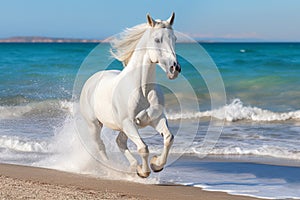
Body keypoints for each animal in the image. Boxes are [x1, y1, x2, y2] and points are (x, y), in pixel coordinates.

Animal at [79, 12, 180, 178]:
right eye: (157, 39)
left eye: (175, 39)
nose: (175, 68)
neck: (142, 89)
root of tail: (92, 80)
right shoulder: (129, 123)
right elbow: (143, 148)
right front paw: (144, 171)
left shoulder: (156, 118)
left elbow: (168, 138)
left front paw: (156, 165)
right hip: (95, 124)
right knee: (100, 145)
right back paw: (110, 168)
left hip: (122, 128)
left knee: (120, 142)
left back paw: (132, 166)